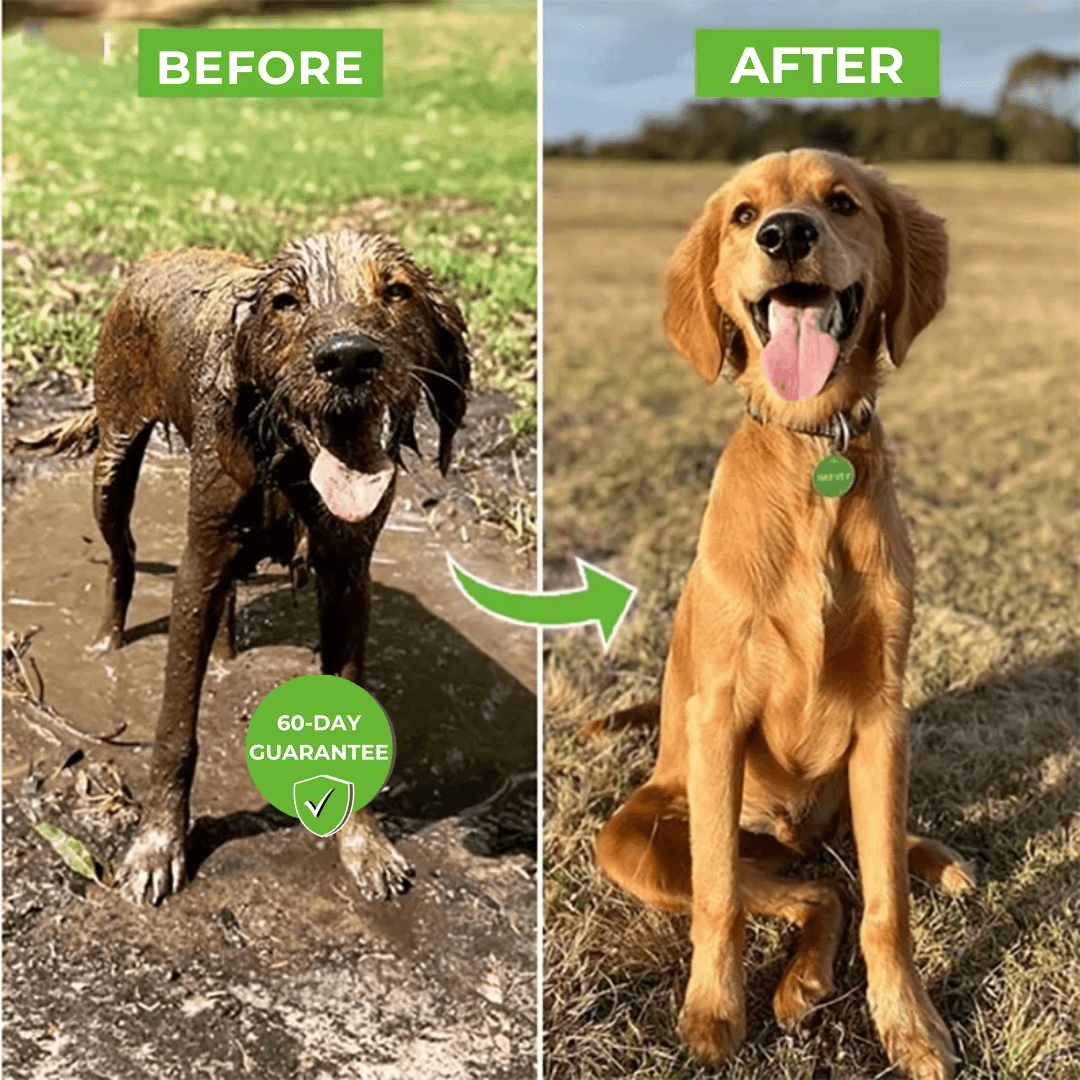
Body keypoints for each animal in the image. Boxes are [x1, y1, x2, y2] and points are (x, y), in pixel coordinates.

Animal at [28, 232, 468, 907]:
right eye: (286, 301)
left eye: (397, 292)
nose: (348, 359)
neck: (286, 459)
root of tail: (158, 256)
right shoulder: (197, 563)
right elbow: (174, 731)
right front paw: (157, 847)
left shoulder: (348, 578)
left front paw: (363, 845)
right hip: (114, 457)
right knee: (122, 558)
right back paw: (107, 642)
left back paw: (226, 655)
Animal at [596, 152, 976, 1080]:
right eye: (742, 215)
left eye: (842, 203)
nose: (786, 234)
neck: (814, 454)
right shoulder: (720, 714)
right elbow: (721, 900)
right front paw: (713, 1013)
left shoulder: (883, 716)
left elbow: (887, 905)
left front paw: (910, 1026)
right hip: (641, 836)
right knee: (808, 889)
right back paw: (798, 982)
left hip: (856, 782)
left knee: (850, 871)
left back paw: (934, 865)